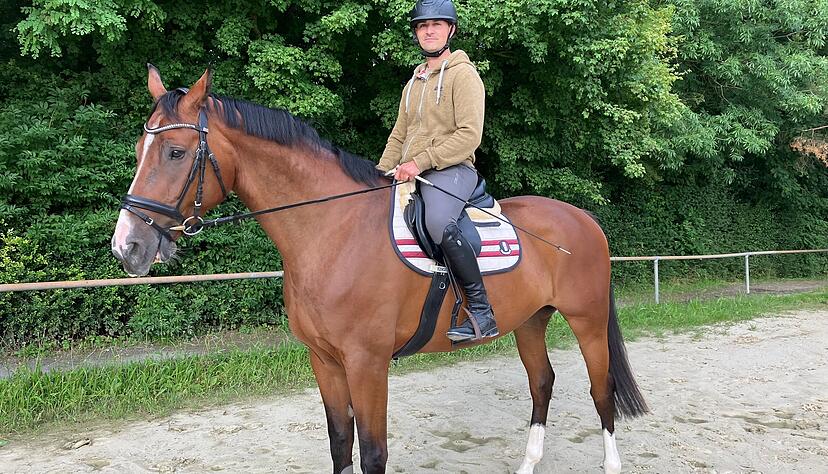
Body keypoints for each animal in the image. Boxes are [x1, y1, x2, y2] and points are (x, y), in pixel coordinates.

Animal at [111, 66, 648, 474]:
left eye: (176, 152)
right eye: (138, 151)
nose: (127, 246)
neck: (332, 231)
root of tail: (583, 219)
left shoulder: (366, 364)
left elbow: (372, 452)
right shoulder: (325, 361)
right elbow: (339, 445)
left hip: (587, 320)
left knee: (601, 390)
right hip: (532, 321)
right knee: (542, 383)